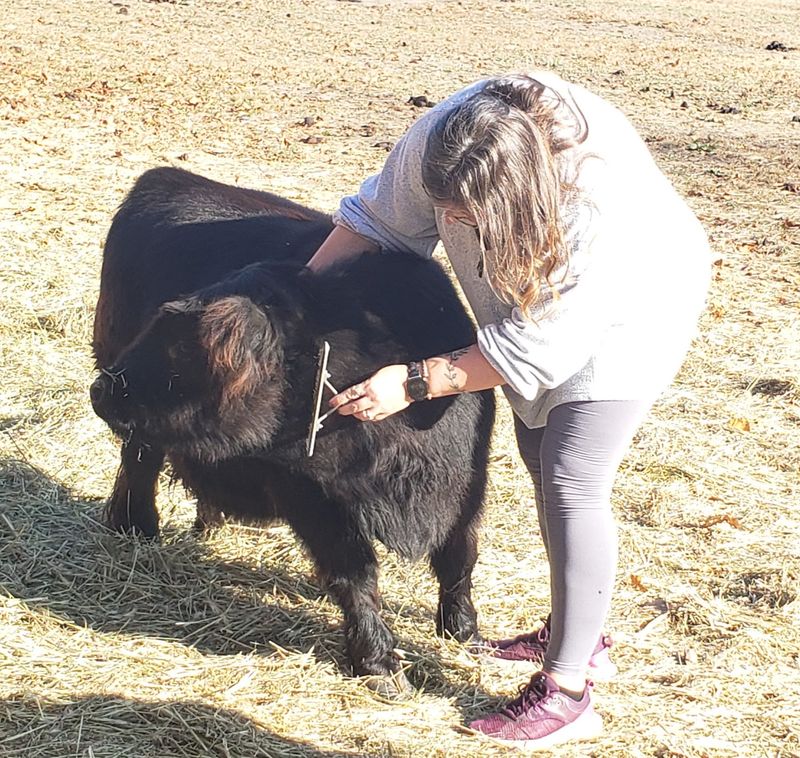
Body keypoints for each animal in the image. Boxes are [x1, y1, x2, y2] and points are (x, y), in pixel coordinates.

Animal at [90, 167, 495, 694]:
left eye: (181, 351)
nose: (103, 388)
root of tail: (167, 178)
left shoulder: (466, 484)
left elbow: (459, 559)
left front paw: (464, 631)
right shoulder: (310, 496)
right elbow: (356, 573)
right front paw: (378, 662)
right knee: (139, 460)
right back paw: (135, 524)